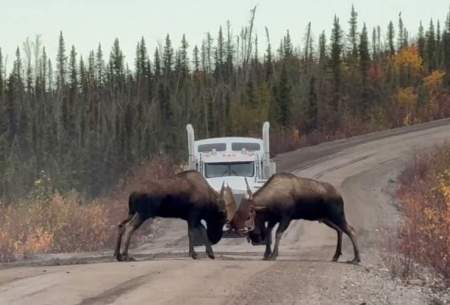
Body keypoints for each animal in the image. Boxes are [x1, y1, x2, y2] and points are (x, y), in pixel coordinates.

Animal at [230, 172, 360, 262]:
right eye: (237, 213)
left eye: (249, 216)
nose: (254, 238)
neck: (269, 204)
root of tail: (339, 196)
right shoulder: (273, 219)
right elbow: (268, 233)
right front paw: (267, 254)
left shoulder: (286, 217)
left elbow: (278, 234)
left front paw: (274, 255)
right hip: (326, 219)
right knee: (340, 230)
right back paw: (336, 255)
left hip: (337, 215)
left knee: (351, 230)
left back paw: (356, 259)